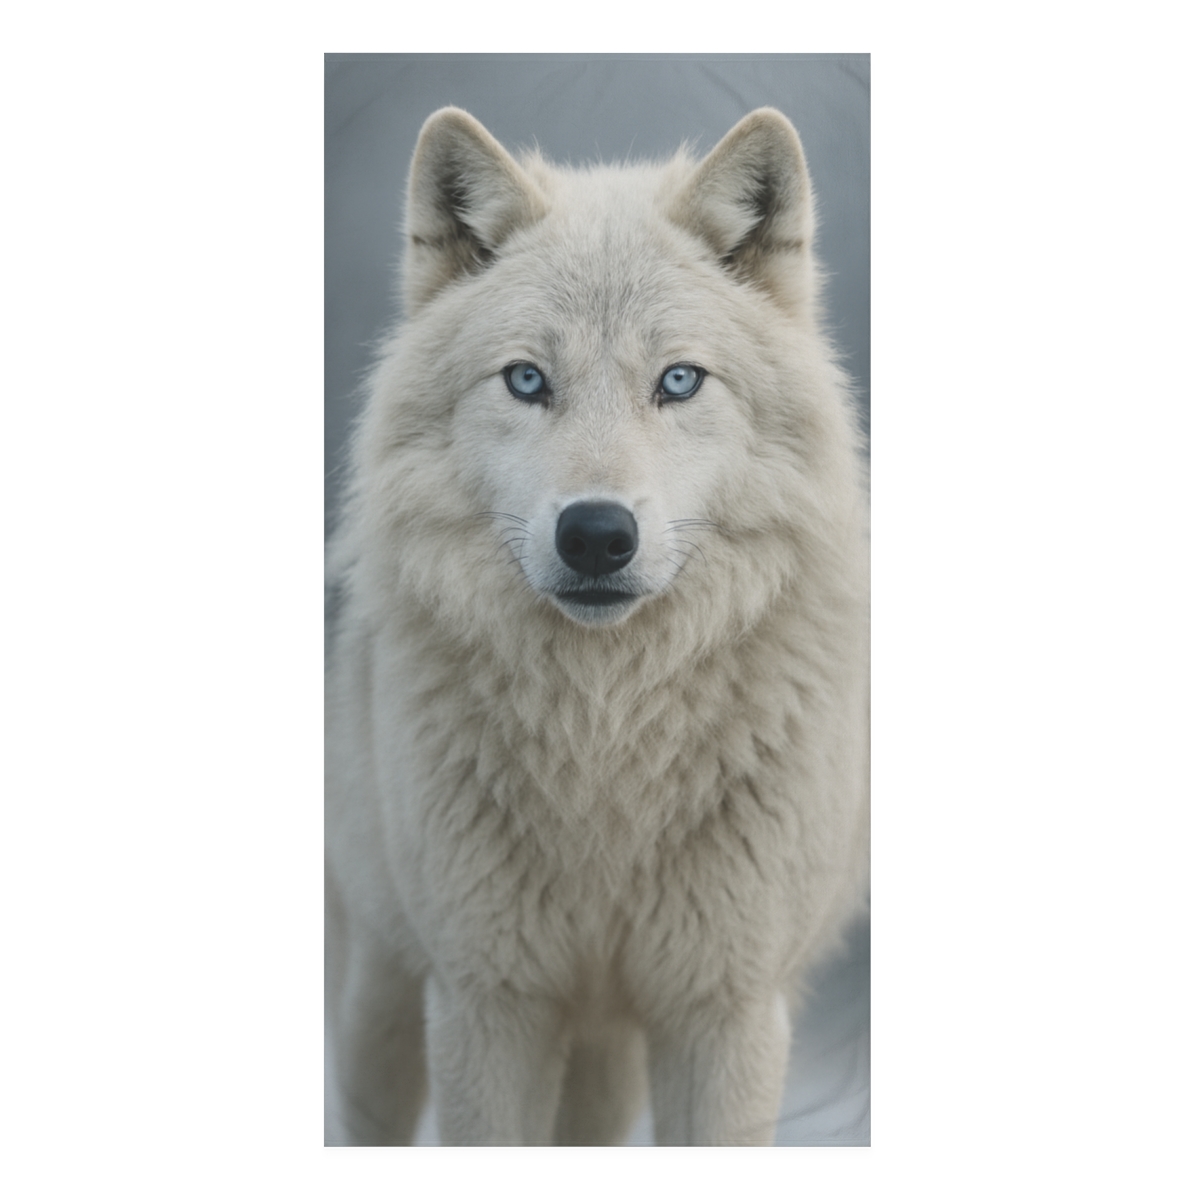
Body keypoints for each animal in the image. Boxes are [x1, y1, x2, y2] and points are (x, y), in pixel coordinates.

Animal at [325, 105, 869, 1146]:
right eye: (528, 381)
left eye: (680, 381)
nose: (596, 534)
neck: (607, 735)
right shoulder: (486, 1003)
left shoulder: (727, 1011)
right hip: (386, 984)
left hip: (607, 1046)